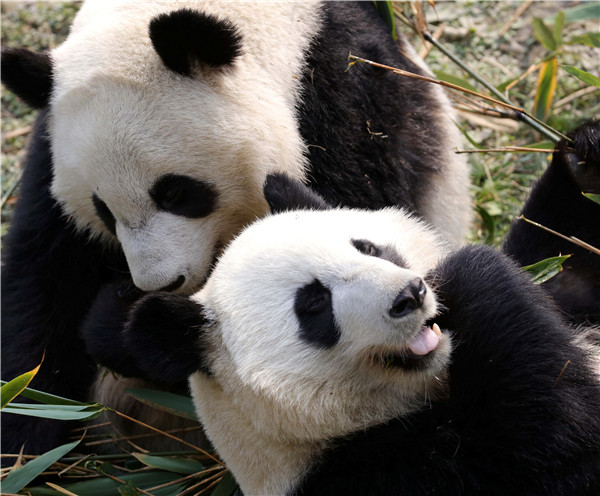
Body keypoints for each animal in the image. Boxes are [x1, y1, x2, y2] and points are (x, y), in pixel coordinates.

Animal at [0, 0, 472, 458]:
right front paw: (27, 441)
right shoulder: (50, 152)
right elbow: (44, 282)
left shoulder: (348, 109)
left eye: (175, 193)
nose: (160, 283)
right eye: (103, 210)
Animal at [84, 122, 600, 494]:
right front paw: (472, 273)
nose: (410, 294)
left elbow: (562, 265)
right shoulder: (381, 475)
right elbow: (552, 438)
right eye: (314, 306)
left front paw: (583, 158)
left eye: (368, 248)